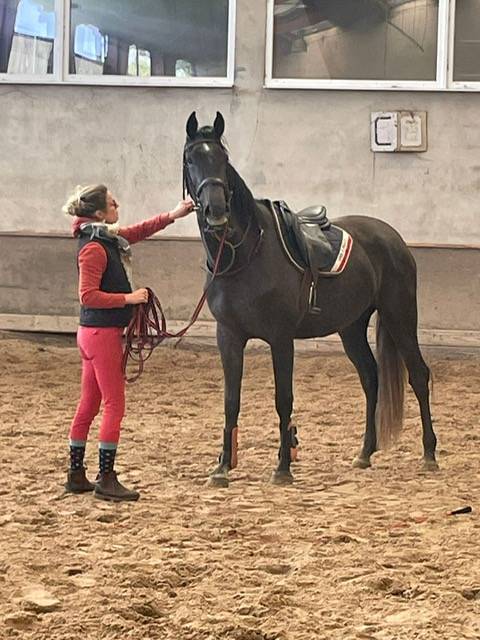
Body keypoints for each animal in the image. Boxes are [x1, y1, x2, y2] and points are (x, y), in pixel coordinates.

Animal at [183, 111, 438, 487]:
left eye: (223, 159)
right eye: (190, 159)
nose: (216, 210)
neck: (246, 254)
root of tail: (392, 238)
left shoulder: (280, 338)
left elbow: (283, 399)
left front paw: (283, 468)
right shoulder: (228, 336)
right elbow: (231, 401)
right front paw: (222, 467)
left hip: (399, 315)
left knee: (418, 374)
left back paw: (430, 454)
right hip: (351, 327)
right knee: (370, 378)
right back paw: (364, 453)